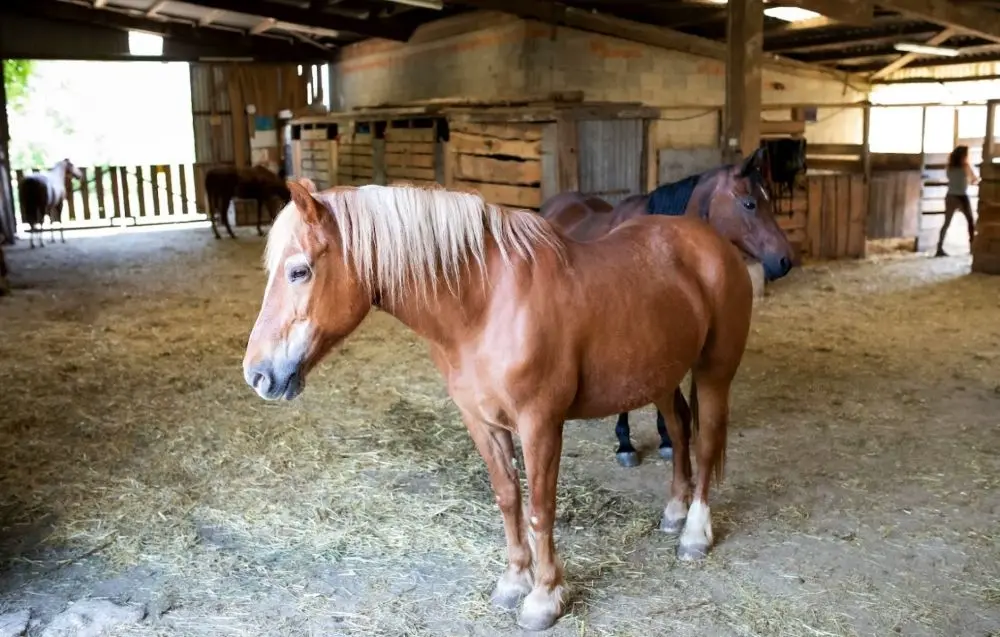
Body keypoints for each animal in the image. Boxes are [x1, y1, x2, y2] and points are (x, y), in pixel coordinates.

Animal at [242, 180, 755, 631]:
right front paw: (513, 582)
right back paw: (674, 512)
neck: (486, 303)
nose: (257, 375)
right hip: (661, 376)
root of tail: (715, 244)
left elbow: (540, 508)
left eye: (299, 270)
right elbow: (508, 498)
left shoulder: (540, 424)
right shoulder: (482, 421)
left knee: (706, 441)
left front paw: (544, 598)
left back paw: (694, 533)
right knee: (680, 428)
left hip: (714, 373)